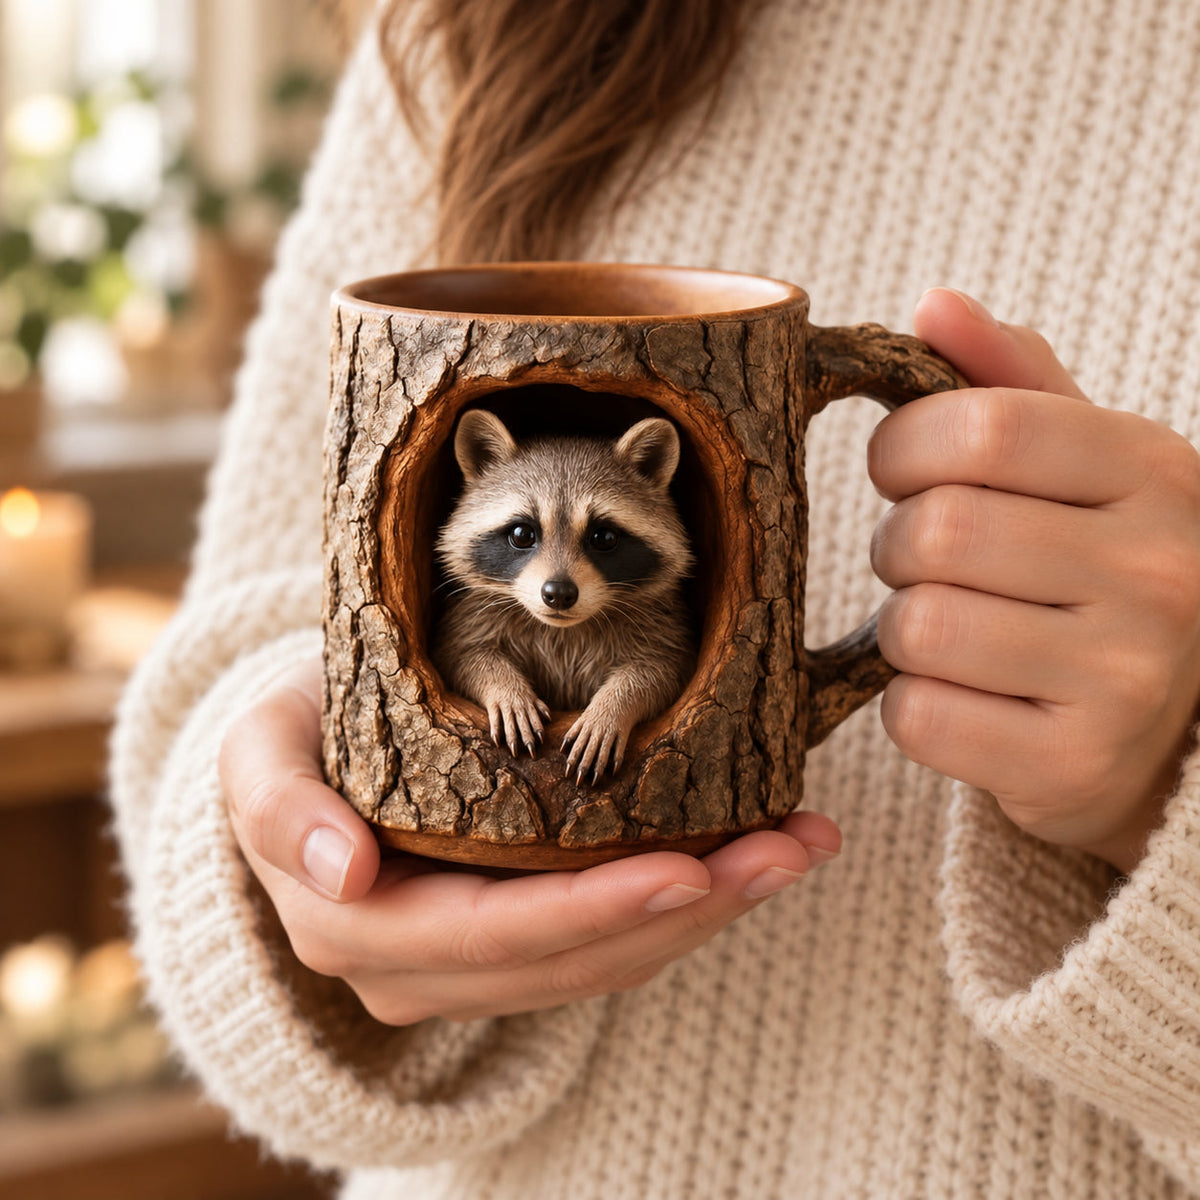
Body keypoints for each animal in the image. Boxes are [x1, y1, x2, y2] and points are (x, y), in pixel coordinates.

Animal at [432, 408, 696, 782]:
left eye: (603, 537)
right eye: (522, 534)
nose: (558, 594)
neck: (563, 630)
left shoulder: (662, 622)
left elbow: (661, 668)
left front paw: (613, 707)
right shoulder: (471, 612)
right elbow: (462, 653)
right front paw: (504, 687)